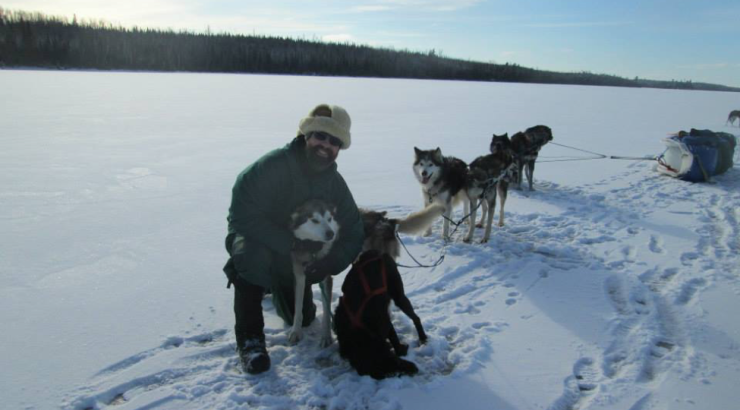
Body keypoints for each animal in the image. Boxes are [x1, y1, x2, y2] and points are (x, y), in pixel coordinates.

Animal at [288, 200, 340, 348]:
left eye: (329, 218)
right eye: (315, 220)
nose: (331, 233)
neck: (312, 249)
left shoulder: (325, 276)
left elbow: (326, 313)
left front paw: (326, 336)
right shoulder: (298, 276)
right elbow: (298, 308)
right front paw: (296, 331)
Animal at [332, 203, 442, 380]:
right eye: (389, 368)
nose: (414, 368)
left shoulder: (383, 320)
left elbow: (393, 336)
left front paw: (400, 348)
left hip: (399, 295)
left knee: (415, 317)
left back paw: (423, 337)